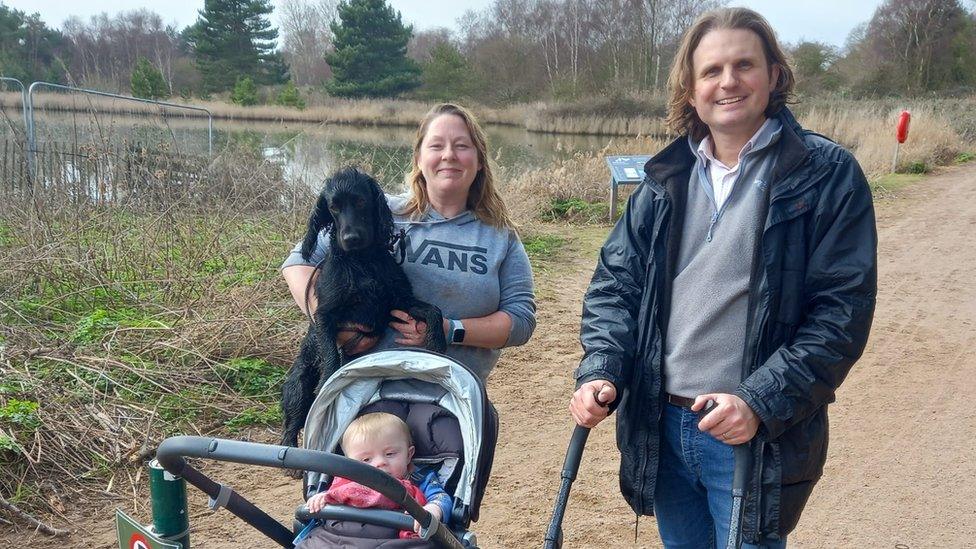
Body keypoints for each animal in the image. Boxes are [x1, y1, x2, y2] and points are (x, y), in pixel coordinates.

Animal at [278, 166, 446, 450]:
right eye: (333, 207)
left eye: (360, 201)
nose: (351, 238)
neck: (362, 262)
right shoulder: (325, 315)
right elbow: (331, 359)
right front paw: (328, 387)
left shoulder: (400, 301)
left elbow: (435, 310)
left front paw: (437, 344)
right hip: (298, 388)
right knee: (291, 426)